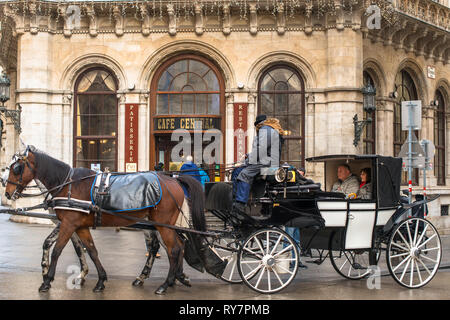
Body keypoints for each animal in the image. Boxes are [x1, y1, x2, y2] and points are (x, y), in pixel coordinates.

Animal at [3, 146, 207, 294]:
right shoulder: (79, 226)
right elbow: (92, 251)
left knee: (173, 249)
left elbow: (57, 251)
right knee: (177, 245)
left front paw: (47, 281)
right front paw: (100, 280)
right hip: (161, 225)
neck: (68, 184)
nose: (7, 193)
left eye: (17, 168)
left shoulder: (68, 224)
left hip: (162, 225)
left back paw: (165, 284)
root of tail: (173, 179)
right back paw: (172, 278)